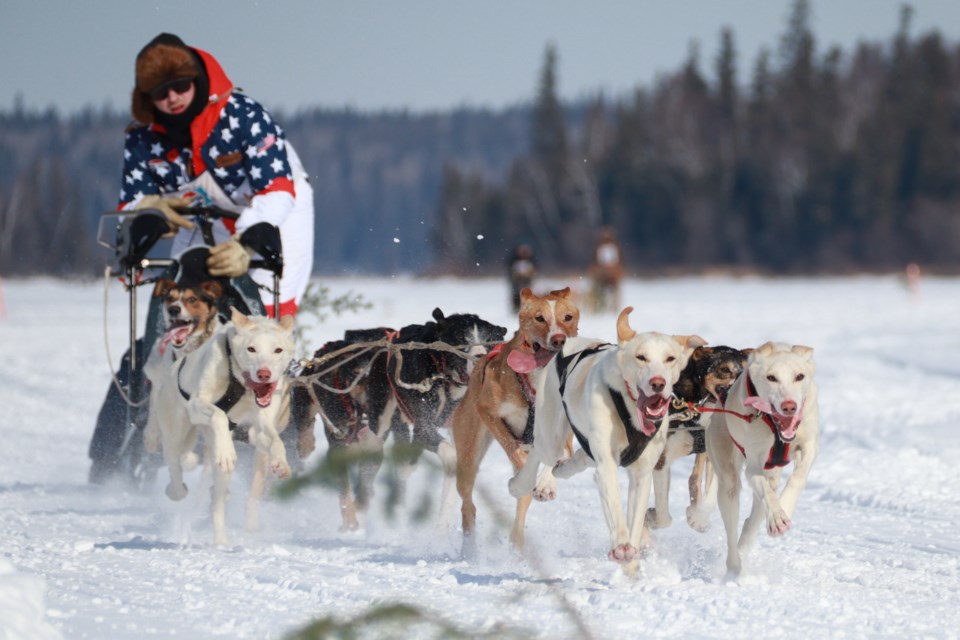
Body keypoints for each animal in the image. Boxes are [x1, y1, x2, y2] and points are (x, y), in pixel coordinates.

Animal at [151, 308, 296, 544]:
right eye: (251, 349)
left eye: (278, 350)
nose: (264, 374)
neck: (240, 384)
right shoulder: (198, 403)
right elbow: (219, 415)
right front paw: (227, 452)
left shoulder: (262, 424)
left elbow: (275, 440)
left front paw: (280, 463)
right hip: (175, 432)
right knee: (175, 465)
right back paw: (178, 490)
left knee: (216, 503)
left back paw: (221, 537)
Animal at [448, 288, 576, 556]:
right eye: (539, 318)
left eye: (568, 317)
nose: (560, 339)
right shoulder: (489, 412)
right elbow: (515, 452)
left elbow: (560, 453)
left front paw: (546, 484)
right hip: (468, 456)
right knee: (468, 506)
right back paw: (470, 551)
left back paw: (516, 546)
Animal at [506, 308, 700, 576]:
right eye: (641, 357)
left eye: (670, 358)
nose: (658, 383)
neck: (629, 411)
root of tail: (570, 344)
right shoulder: (607, 464)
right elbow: (616, 509)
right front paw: (621, 547)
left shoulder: (642, 472)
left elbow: (636, 519)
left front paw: (632, 564)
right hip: (550, 434)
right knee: (541, 453)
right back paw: (523, 484)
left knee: (574, 459)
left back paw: (562, 469)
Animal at [700, 342, 820, 576]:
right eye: (771, 377)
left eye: (799, 376)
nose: (789, 406)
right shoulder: (754, 464)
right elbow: (764, 489)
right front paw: (778, 517)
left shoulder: (809, 445)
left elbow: (798, 478)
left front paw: (785, 507)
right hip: (727, 478)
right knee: (732, 527)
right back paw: (734, 568)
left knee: (753, 518)